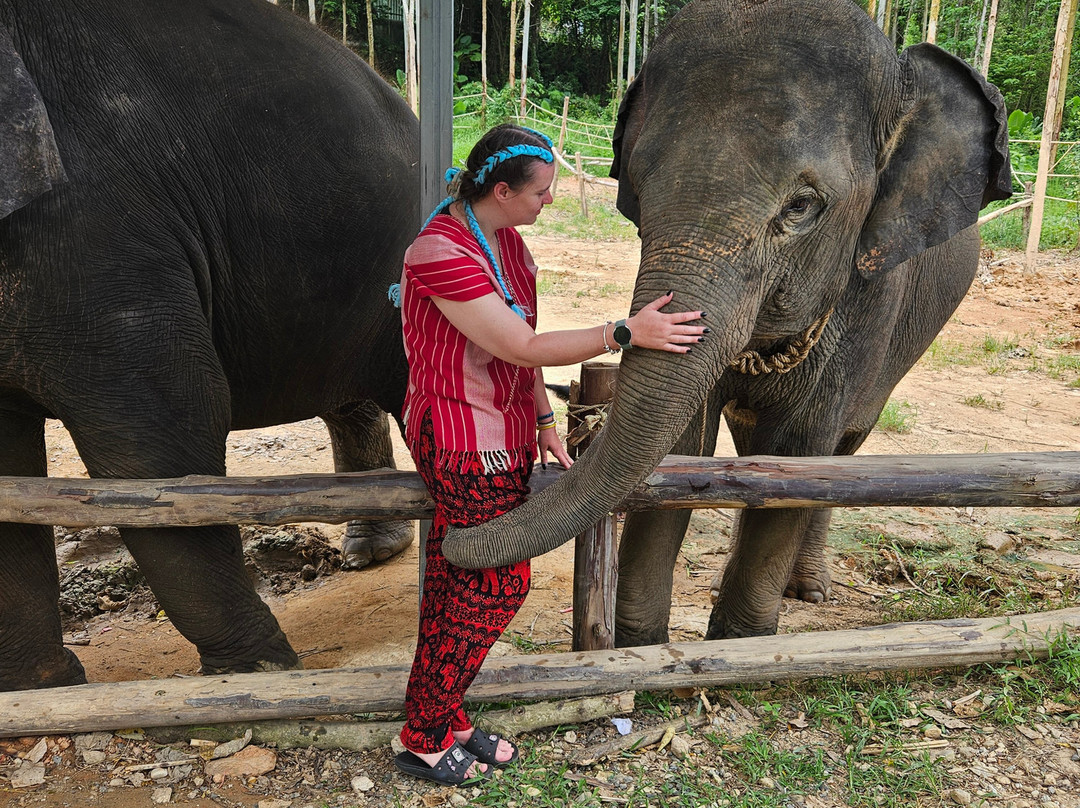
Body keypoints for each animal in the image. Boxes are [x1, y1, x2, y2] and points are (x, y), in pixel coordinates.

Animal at [442, 0, 1012, 645]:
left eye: (801, 206)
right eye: (636, 185)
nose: (451, 537)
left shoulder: (871, 299)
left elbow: (800, 455)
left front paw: (740, 642)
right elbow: (682, 446)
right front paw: (642, 646)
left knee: (841, 448)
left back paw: (808, 588)